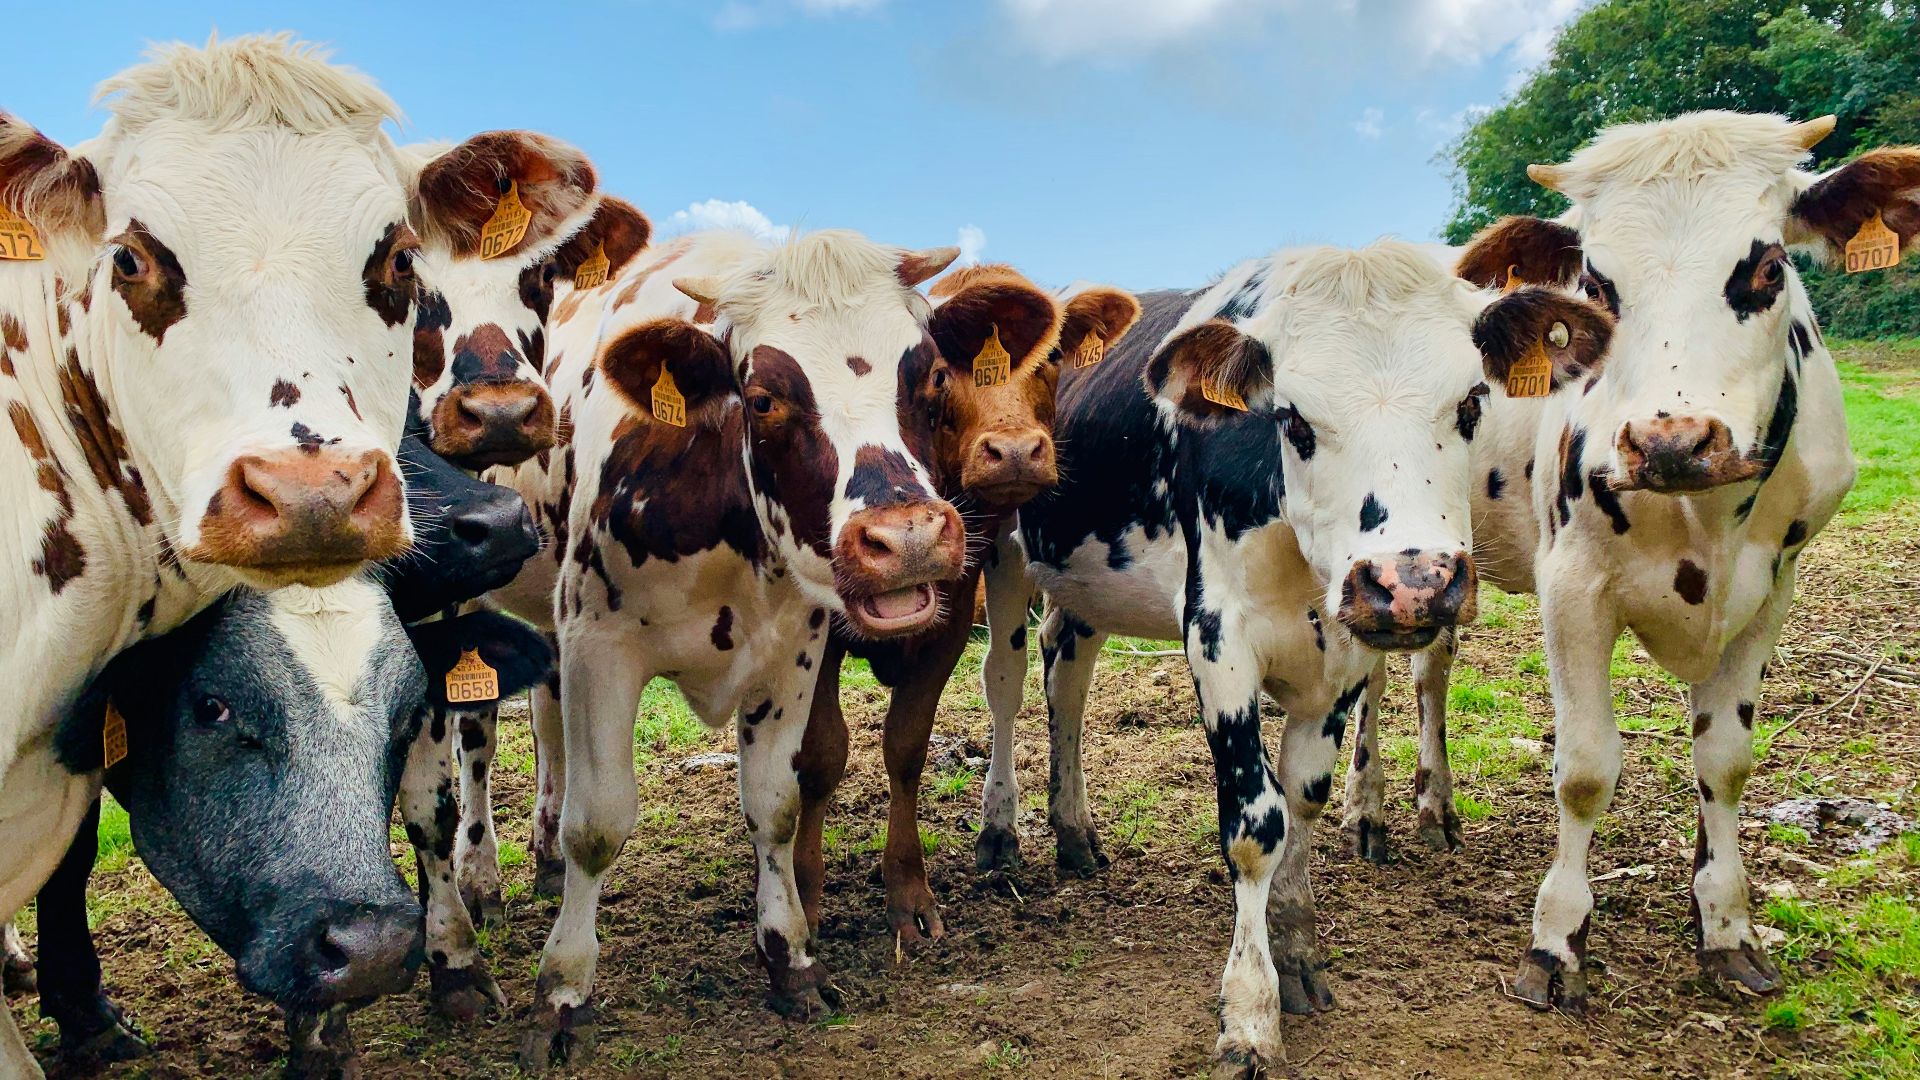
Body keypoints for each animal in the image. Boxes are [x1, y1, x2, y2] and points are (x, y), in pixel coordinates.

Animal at [483, 228, 1074, 1069]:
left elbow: (778, 806)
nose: (908, 539)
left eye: (931, 378)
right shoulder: (599, 645)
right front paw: (560, 994)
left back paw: (540, 858)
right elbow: (597, 825)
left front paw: (790, 959)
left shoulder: (794, 652)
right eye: (763, 399)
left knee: (543, 718)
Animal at [794, 265, 1142, 943]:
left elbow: (906, 746)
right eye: (939, 371)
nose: (1015, 452)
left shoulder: (954, 617)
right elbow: (822, 753)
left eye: (1052, 357)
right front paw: (804, 897)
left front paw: (908, 895)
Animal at [978, 240, 1615, 1076]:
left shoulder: (1341, 659)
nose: (1412, 582)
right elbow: (1256, 824)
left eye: (1472, 404)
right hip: (998, 552)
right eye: (1291, 418)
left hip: (1084, 585)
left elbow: (1303, 799)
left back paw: (1074, 830)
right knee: (1006, 683)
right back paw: (1000, 834)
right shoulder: (1217, 639)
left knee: (1069, 680)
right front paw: (1249, 1011)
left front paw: (1296, 950)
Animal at [1347, 111, 1913, 1013]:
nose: (1669, 440)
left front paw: (1725, 926)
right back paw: (1366, 811)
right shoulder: (1572, 585)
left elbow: (1726, 761)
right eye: (1595, 284)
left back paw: (1435, 803)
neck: (1703, 515)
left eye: (1768, 266)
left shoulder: (1773, 590)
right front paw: (1556, 941)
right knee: (1369, 675)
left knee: (1431, 669)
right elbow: (1584, 768)